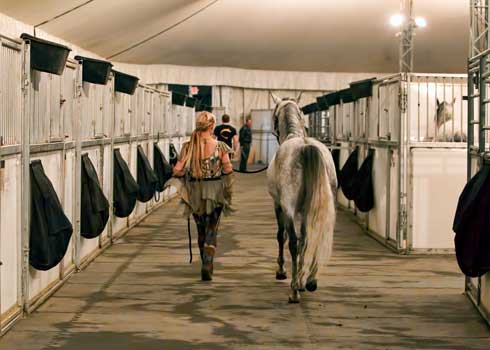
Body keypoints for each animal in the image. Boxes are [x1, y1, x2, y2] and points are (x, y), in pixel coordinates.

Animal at [268, 93, 336, 304]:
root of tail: (306, 147)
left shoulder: (279, 206)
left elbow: (281, 236)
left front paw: (282, 271)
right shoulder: (305, 211)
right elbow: (305, 239)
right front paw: (301, 280)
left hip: (289, 209)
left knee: (292, 241)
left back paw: (294, 291)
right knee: (315, 235)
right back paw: (310, 281)